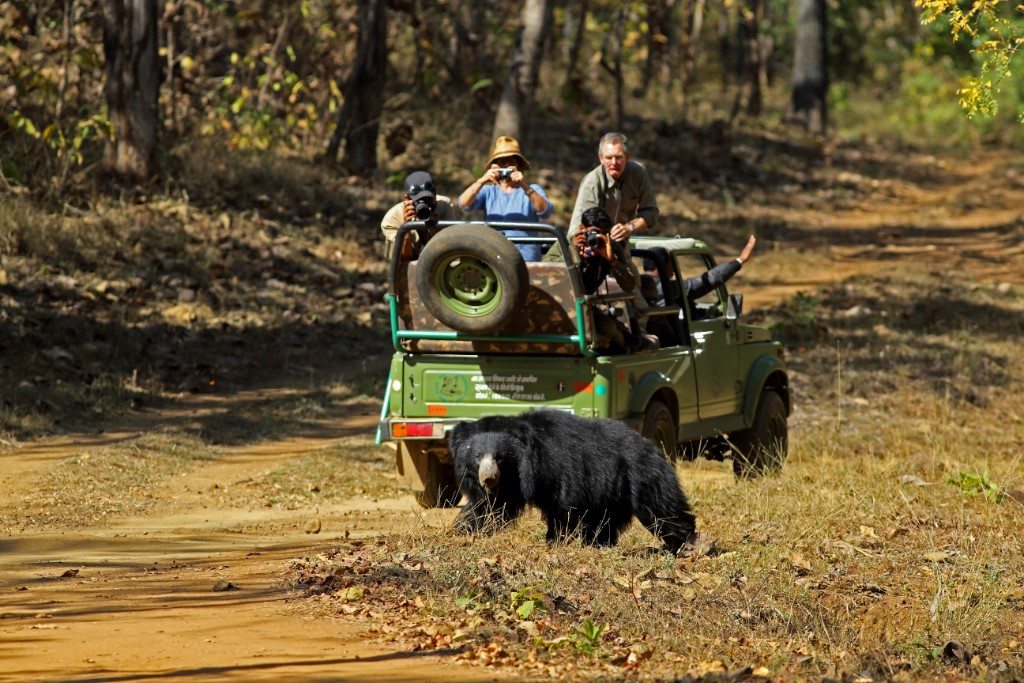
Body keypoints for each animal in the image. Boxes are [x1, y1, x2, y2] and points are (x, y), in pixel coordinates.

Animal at [448, 409, 696, 552]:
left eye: (499, 457)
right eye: (477, 456)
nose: (488, 479)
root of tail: (652, 446)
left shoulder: (561, 468)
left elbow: (563, 507)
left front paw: (553, 541)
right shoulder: (512, 482)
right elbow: (489, 507)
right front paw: (461, 531)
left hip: (642, 476)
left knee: (661, 509)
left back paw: (683, 545)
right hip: (614, 491)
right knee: (606, 521)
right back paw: (599, 544)